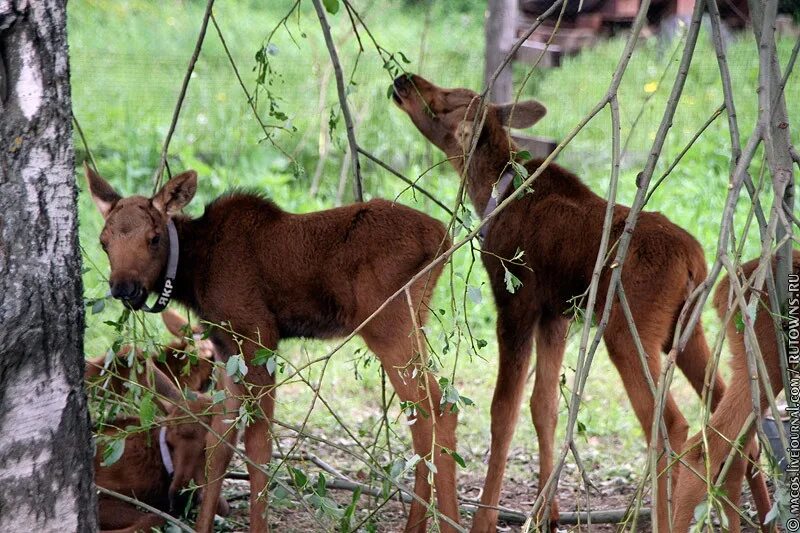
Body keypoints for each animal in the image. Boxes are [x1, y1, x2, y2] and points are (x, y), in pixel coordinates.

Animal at [84, 165, 460, 532]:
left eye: (154, 237)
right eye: (104, 242)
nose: (124, 288)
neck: (195, 272)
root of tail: (444, 237)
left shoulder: (258, 336)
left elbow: (257, 449)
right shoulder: (225, 348)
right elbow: (220, 445)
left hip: (388, 324)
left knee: (438, 410)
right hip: (413, 319)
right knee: (428, 414)